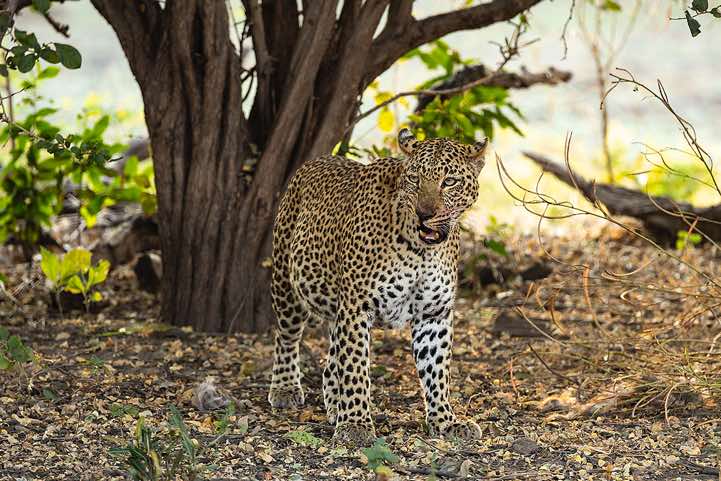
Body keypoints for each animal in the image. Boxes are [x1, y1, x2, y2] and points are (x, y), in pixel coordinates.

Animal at [268, 128, 488, 446]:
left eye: (449, 181)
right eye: (414, 179)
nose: (424, 214)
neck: (422, 249)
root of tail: (317, 159)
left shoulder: (433, 314)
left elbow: (436, 370)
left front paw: (445, 421)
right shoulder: (357, 306)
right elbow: (355, 366)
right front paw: (356, 425)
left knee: (332, 358)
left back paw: (334, 404)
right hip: (288, 284)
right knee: (287, 336)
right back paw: (285, 387)